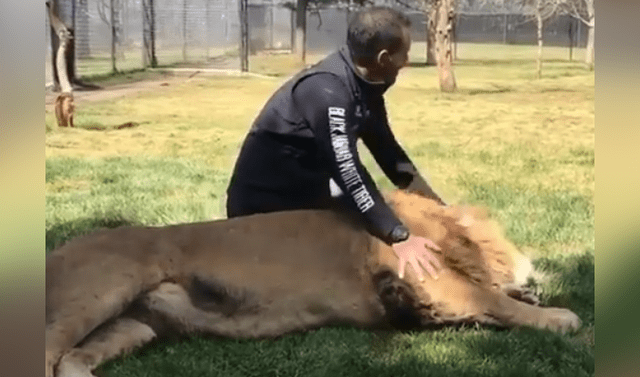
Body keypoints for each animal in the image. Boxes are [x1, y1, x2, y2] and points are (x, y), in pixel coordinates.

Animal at [45, 191, 580, 376]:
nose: (530, 270)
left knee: (71, 359)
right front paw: (558, 315)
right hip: (102, 289)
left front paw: (527, 293)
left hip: (136, 323)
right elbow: (494, 299)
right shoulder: (438, 281)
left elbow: (494, 300)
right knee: (50, 352)